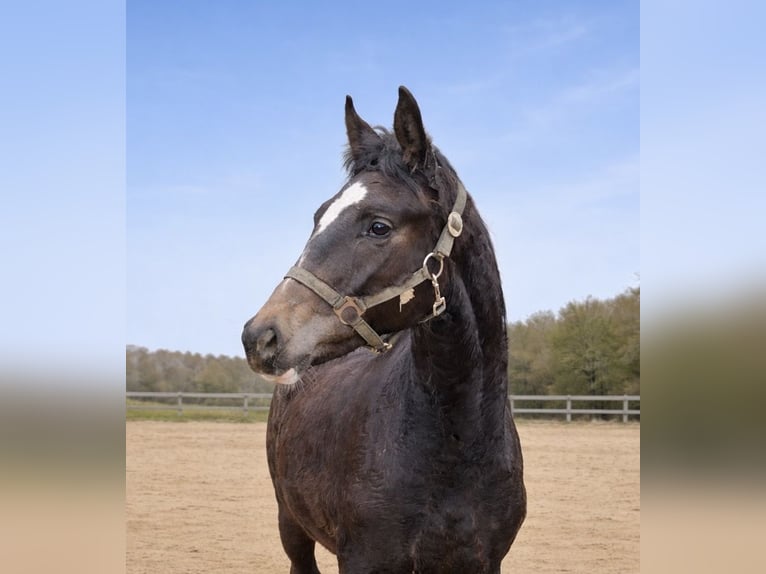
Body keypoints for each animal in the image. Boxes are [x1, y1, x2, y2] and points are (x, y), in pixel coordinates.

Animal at [242, 86, 526, 573]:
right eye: (318, 216)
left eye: (378, 226)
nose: (258, 336)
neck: (460, 445)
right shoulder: (363, 559)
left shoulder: (485, 562)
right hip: (291, 524)